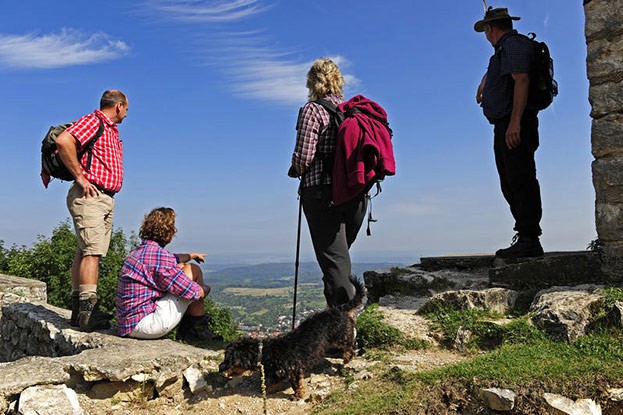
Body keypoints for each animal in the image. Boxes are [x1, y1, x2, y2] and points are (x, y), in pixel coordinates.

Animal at [219, 278, 366, 402]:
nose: (220, 368)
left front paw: (298, 396)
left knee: (350, 344)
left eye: (228, 359)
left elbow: (297, 385)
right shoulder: (278, 372)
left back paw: (348, 357)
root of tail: (339, 309)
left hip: (340, 337)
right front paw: (269, 389)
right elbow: (272, 382)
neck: (265, 352)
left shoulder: (293, 370)